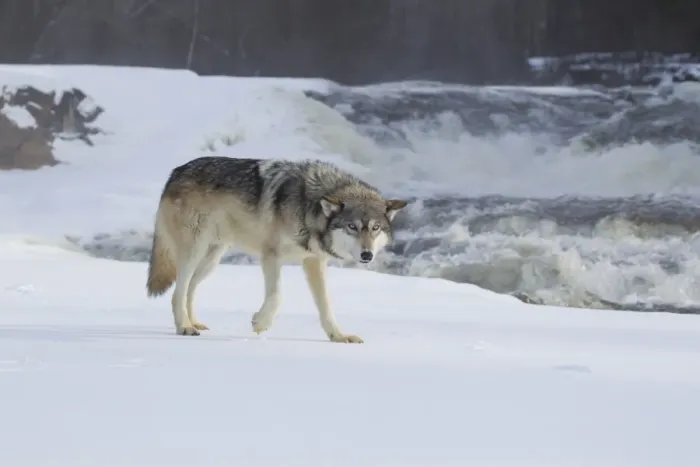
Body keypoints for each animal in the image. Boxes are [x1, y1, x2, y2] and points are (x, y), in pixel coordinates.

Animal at [145, 156, 408, 343]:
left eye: (375, 228)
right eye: (352, 227)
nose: (367, 255)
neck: (308, 207)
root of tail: (176, 171)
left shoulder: (314, 262)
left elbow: (326, 305)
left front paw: (339, 336)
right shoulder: (271, 255)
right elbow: (276, 297)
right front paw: (260, 323)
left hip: (211, 260)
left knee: (189, 289)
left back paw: (195, 322)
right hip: (194, 251)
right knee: (177, 292)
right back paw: (184, 327)